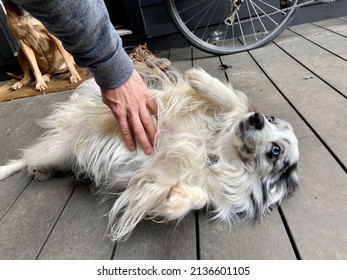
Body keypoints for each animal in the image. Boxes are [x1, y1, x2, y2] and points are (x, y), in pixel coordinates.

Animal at [0, 66, 300, 240]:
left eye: (275, 151)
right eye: (271, 118)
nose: (257, 119)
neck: (217, 152)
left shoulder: (154, 180)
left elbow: (200, 197)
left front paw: (177, 200)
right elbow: (233, 101)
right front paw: (201, 79)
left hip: (57, 153)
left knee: (31, 161)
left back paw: (40, 171)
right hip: (53, 148)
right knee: (22, 159)